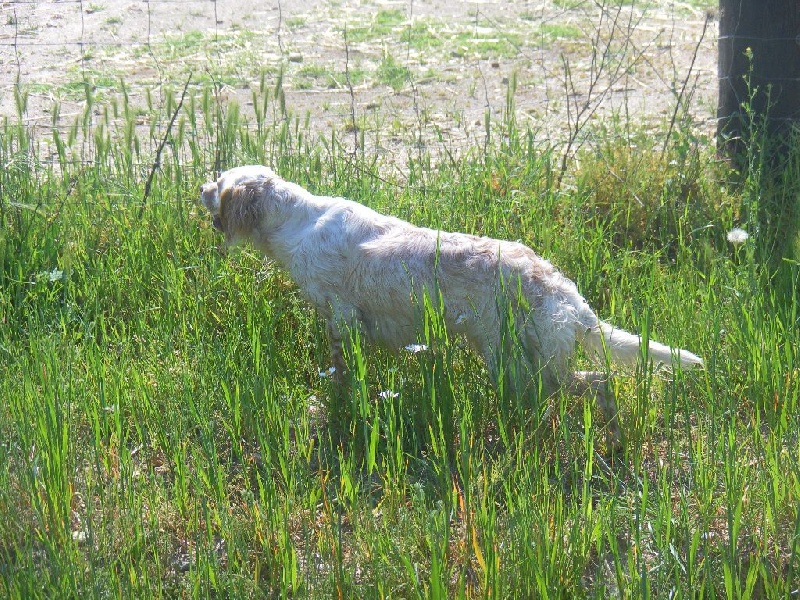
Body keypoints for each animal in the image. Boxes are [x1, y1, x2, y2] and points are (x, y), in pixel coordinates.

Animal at [203, 166, 704, 442]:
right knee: (598, 385)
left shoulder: (342, 320)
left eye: (220, 181)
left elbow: (341, 374)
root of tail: (567, 294)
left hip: (523, 363)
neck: (295, 222)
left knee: (592, 383)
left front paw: (332, 406)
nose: (200, 188)